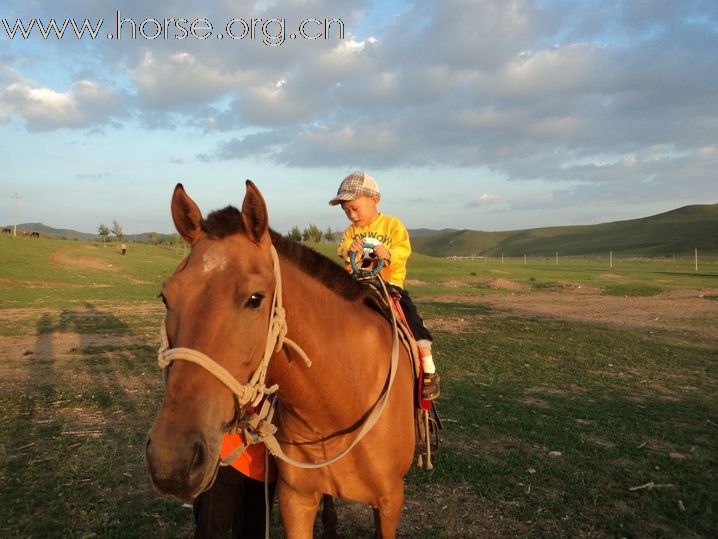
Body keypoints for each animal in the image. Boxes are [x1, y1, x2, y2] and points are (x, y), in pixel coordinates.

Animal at [146, 184, 416, 536]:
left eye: (255, 298)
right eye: (166, 296)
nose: (171, 459)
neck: (340, 403)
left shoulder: (389, 503)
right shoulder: (295, 500)